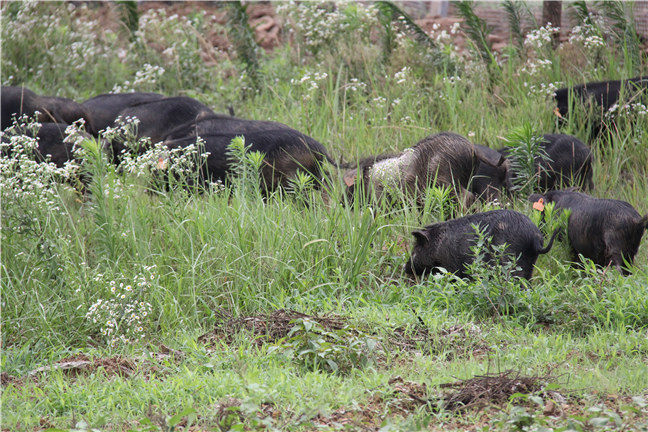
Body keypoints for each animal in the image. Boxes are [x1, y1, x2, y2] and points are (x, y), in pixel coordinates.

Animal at [404, 210, 556, 280]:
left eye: (416, 248)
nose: (405, 268)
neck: (438, 245)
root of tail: (535, 238)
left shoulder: (452, 266)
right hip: (530, 264)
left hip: (511, 260)